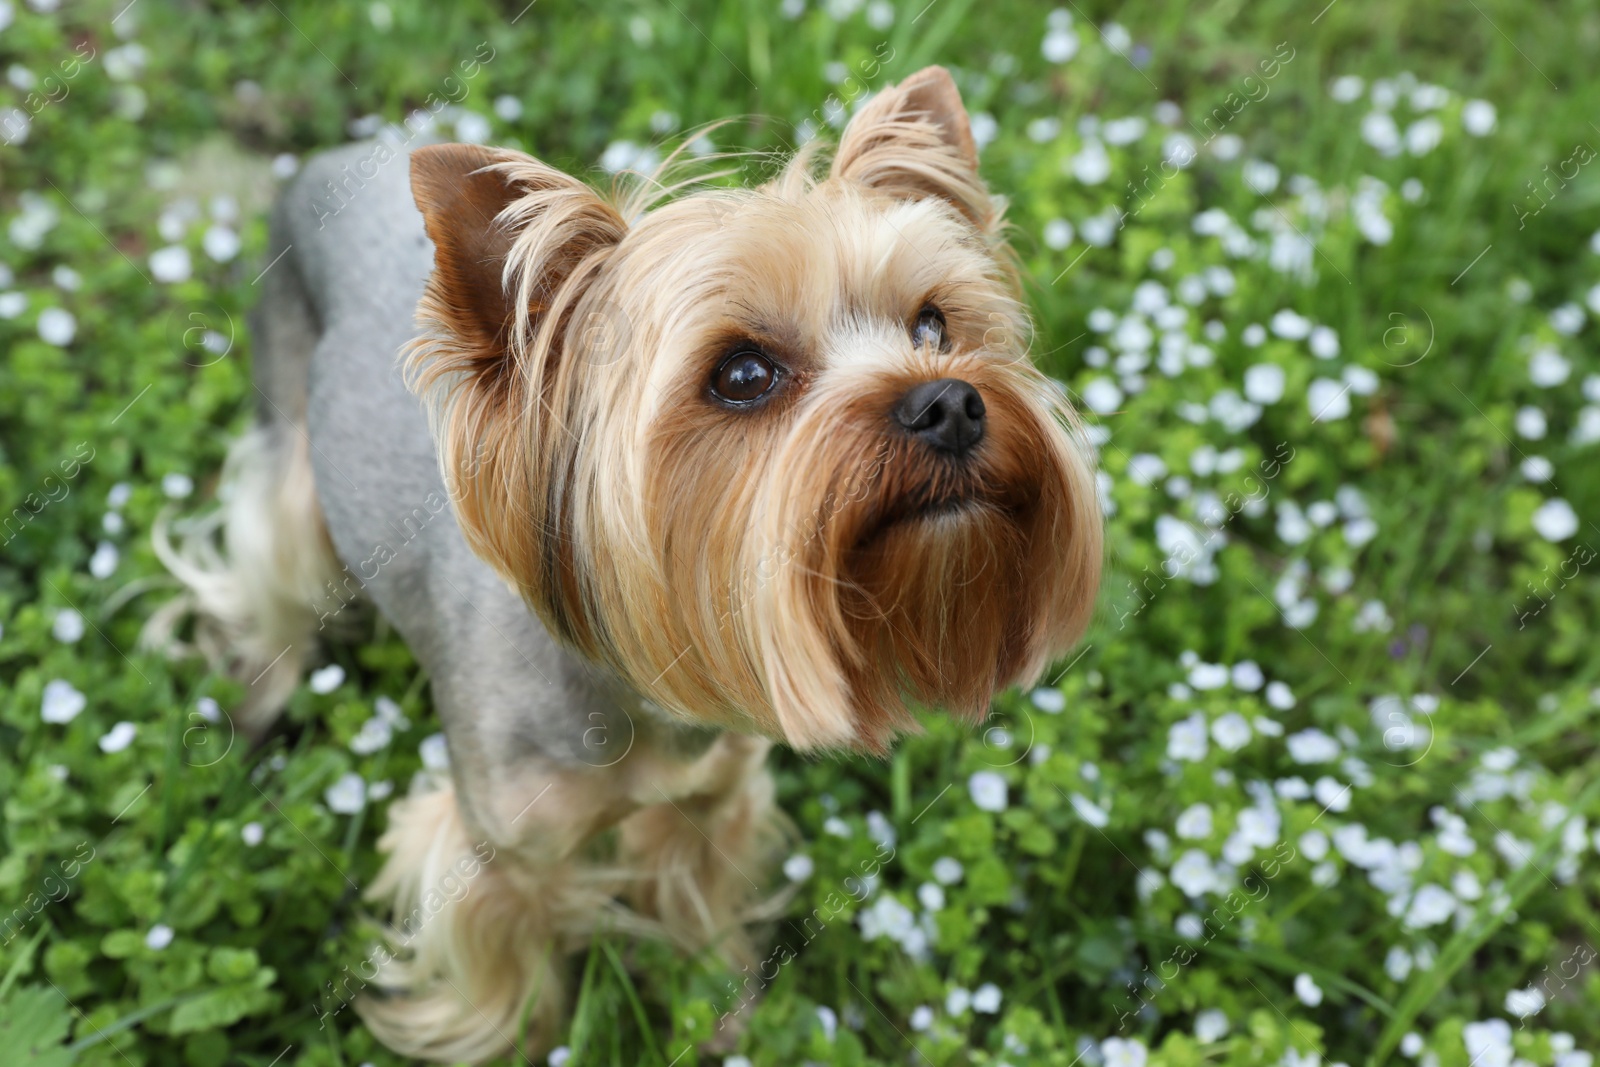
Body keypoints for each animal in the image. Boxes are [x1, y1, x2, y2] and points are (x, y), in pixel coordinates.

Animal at [152, 64, 1100, 1062]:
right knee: (271, 572)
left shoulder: (709, 800)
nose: (951, 403)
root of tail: (336, 155)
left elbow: (698, 913)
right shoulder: (498, 849)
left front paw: (721, 1017)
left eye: (932, 325)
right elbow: (508, 972)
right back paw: (258, 701)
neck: (636, 689)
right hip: (290, 458)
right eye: (743, 375)